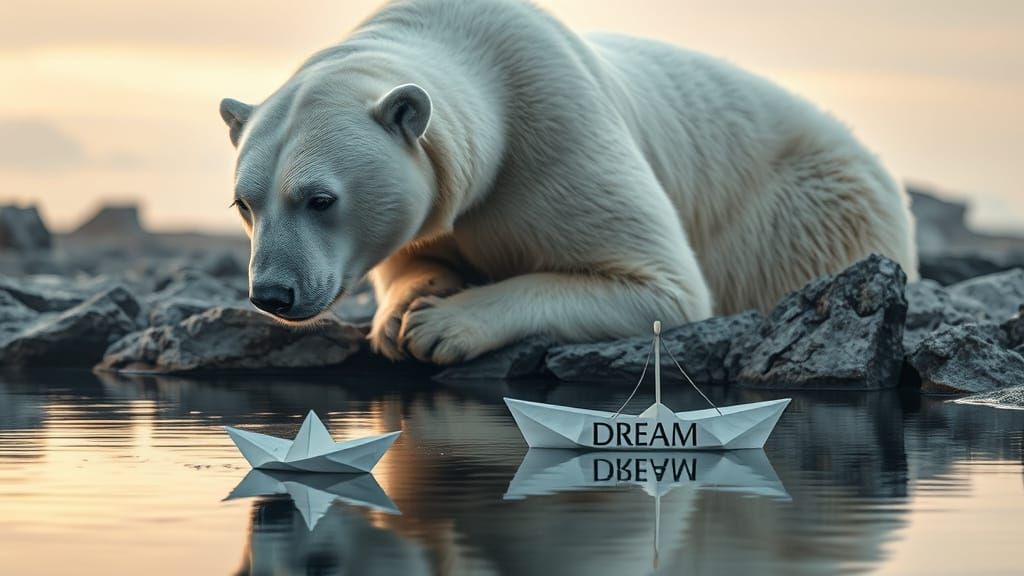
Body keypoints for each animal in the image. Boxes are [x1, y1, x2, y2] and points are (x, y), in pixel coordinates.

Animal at [219, 0, 917, 365]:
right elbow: (417, 247)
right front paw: (404, 311)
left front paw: (440, 326)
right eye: (244, 204)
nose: (272, 293)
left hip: (810, 209)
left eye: (320, 199)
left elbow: (662, 285)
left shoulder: (555, 125)